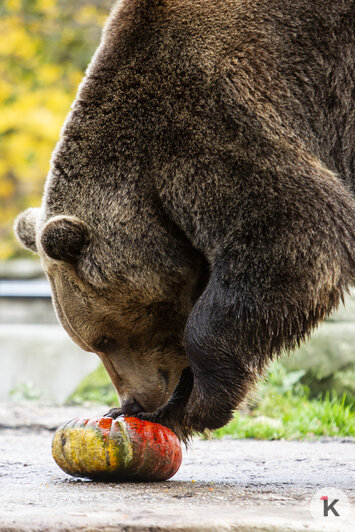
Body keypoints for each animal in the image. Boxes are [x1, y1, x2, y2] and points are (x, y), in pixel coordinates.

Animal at [13, 0, 354, 440]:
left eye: (104, 338)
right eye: (92, 344)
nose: (134, 401)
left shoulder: (220, 118)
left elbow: (293, 234)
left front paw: (202, 403)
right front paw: (175, 407)